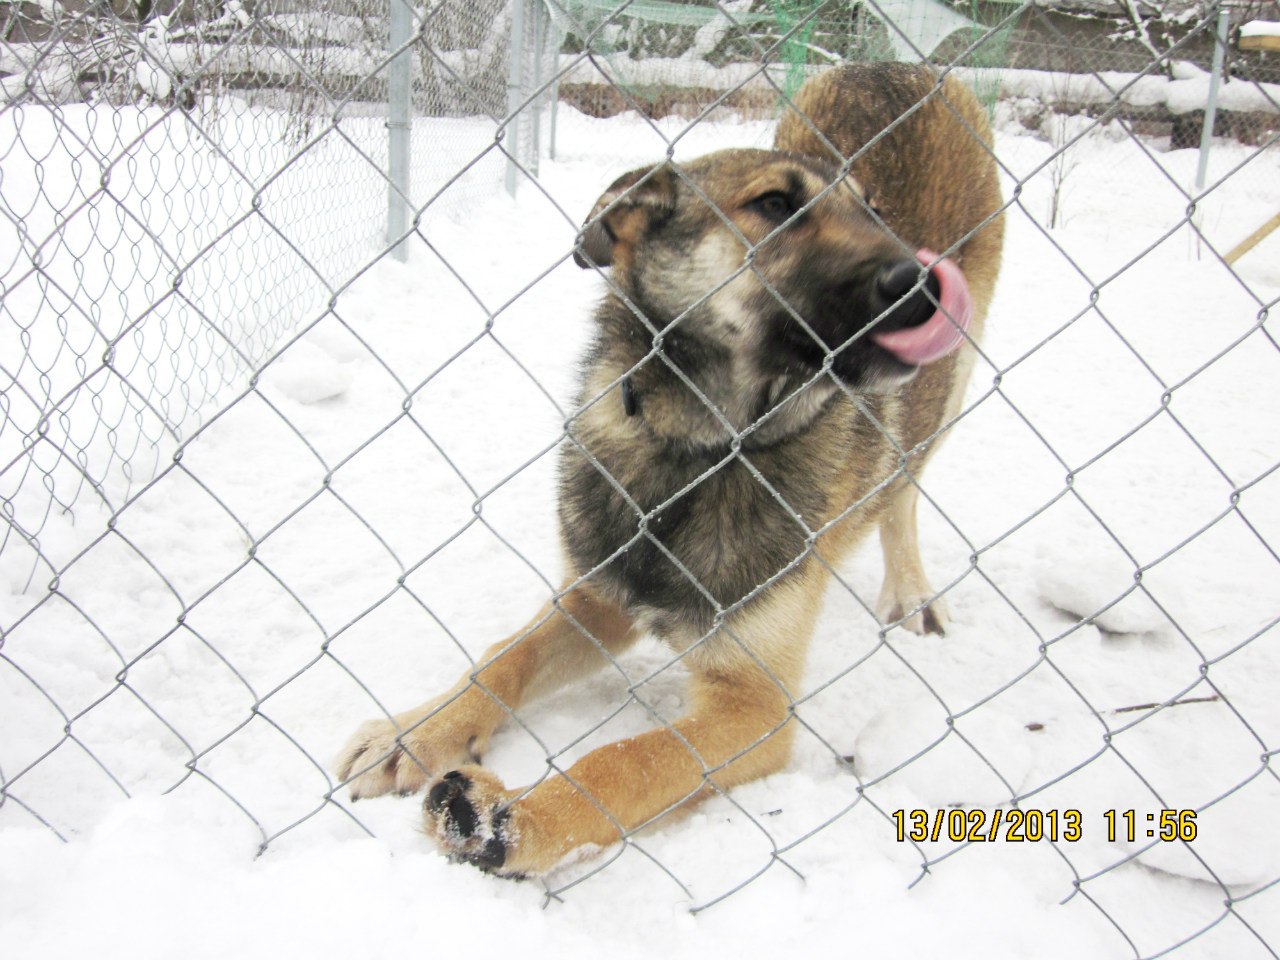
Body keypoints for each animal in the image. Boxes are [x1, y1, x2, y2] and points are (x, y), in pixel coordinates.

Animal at [335, 62, 1003, 880]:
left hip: (957, 377)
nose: (928, 283)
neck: (699, 450)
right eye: (775, 205)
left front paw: (516, 822)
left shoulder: (753, 706)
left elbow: (624, 761)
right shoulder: (594, 596)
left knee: (904, 482)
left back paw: (910, 592)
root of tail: (894, 66)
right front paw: (418, 729)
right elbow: (501, 659)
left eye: (873, 214)